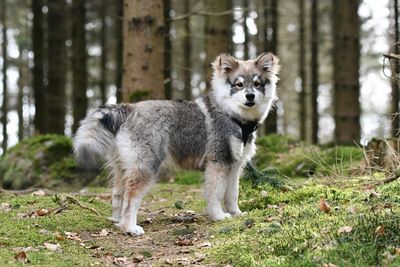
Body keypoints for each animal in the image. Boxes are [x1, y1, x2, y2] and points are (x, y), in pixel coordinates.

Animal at [73, 52, 280, 237]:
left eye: (257, 84)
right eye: (239, 84)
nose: (250, 96)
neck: (233, 116)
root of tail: (129, 109)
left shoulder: (235, 166)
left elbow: (232, 193)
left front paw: (236, 213)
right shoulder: (218, 163)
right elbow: (216, 194)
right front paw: (219, 216)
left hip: (123, 167)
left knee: (118, 195)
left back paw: (117, 222)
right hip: (146, 166)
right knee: (131, 198)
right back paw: (130, 228)